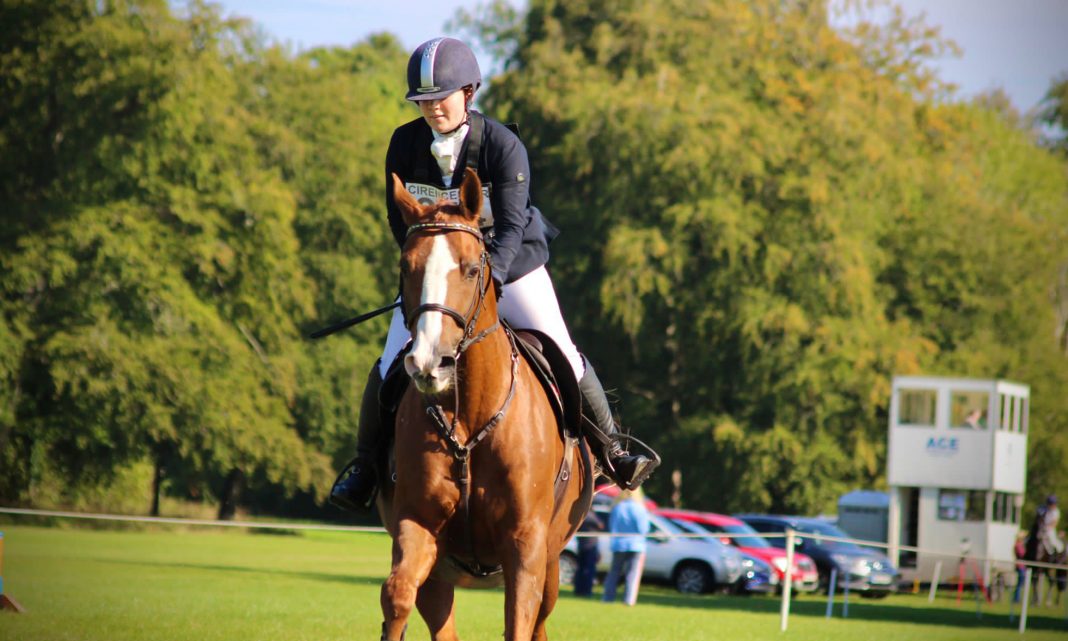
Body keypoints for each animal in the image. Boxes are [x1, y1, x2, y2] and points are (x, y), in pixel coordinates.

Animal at [375, 166, 593, 641]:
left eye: (473, 269)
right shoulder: (418, 525)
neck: (470, 417)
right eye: (405, 267)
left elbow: (519, 622)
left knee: (540, 623)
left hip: (551, 564)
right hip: (441, 576)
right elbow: (396, 596)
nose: (429, 362)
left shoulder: (526, 549)